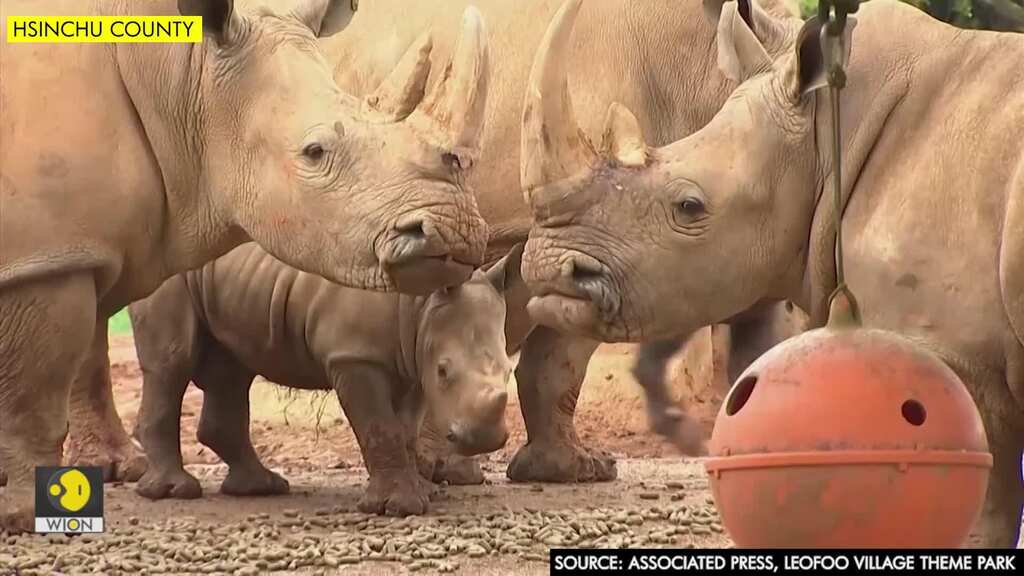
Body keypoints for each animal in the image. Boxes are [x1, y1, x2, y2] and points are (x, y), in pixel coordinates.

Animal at [128, 243, 518, 516]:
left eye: (509, 370)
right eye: (443, 371)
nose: (484, 439)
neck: (418, 305)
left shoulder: (413, 360)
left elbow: (406, 430)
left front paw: (427, 492)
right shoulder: (353, 356)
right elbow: (381, 427)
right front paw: (399, 508)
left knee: (233, 371)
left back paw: (261, 487)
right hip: (166, 269)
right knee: (172, 363)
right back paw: (173, 493)